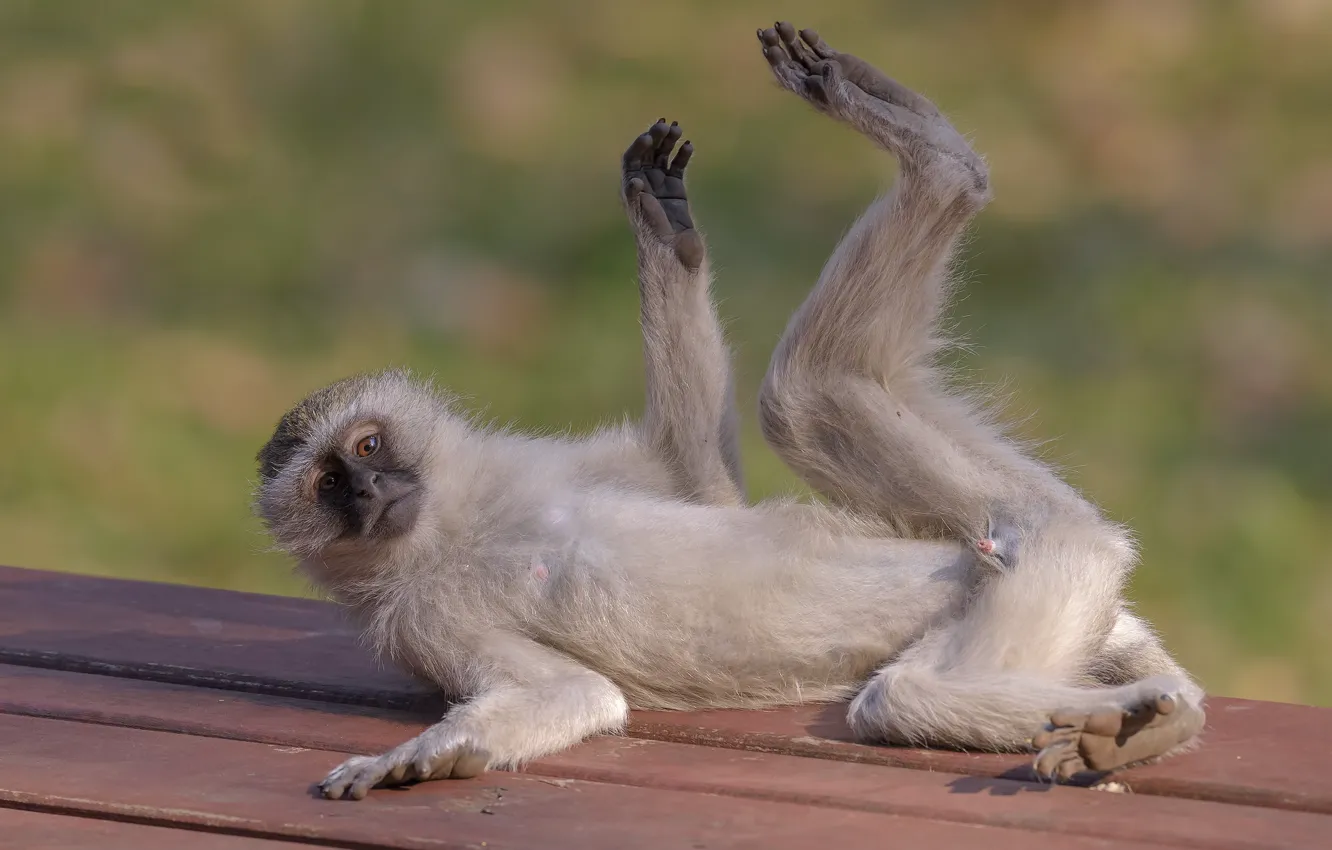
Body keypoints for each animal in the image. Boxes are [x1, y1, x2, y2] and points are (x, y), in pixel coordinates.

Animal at [254, 21, 1206, 801]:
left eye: (365, 448)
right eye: (327, 486)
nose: (369, 494)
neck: (455, 524)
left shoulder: (537, 465)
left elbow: (698, 483)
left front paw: (662, 224)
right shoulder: (423, 622)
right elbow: (576, 693)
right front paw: (421, 759)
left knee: (803, 405)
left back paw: (927, 153)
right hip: (1047, 564)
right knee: (898, 650)